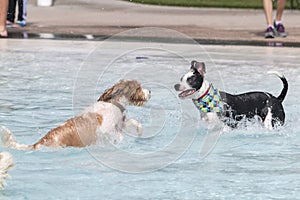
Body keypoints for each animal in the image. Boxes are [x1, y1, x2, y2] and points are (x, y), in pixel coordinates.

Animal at [0, 79, 150, 150]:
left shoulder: (121, 124)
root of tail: (39, 143)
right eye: (138, 88)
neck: (113, 103)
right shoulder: (105, 131)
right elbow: (117, 136)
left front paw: (139, 132)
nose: (150, 91)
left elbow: (134, 123)